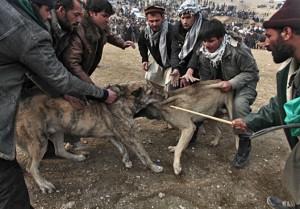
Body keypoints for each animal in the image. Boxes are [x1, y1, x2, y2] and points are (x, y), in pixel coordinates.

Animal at [15, 81, 164, 193]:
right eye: (151, 92)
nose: (165, 94)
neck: (124, 98)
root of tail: (20, 107)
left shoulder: (113, 136)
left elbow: (123, 149)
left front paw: (126, 160)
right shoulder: (130, 136)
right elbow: (143, 153)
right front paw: (154, 167)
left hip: (58, 131)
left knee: (59, 150)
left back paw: (77, 157)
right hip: (40, 142)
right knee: (31, 167)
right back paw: (44, 184)